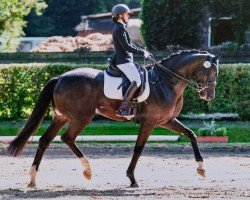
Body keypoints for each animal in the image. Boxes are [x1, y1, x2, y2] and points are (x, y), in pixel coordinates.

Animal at [6, 49, 221, 188]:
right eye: (211, 71)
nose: (209, 95)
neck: (166, 81)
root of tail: (59, 78)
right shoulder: (150, 122)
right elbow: (138, 149)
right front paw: (132, 179)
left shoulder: (166, 121)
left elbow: (191, 134)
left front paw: (201, 169)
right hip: (81, 117)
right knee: (67, 138)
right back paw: (87, 171)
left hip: (61, 118)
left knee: (45, 141)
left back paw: (33, 179)